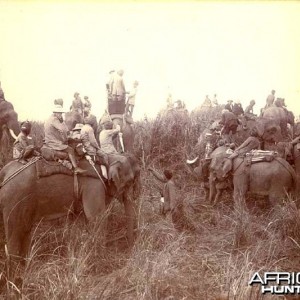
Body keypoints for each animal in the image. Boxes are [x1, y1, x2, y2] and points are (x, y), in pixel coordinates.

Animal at [0, 154, 141, 266]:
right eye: (130, 182)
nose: (129, 250)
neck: (108, 158)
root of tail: (4, 172)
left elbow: (78, 222)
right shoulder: (94, 185)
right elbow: (96, 219)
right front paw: (101, 261)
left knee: (25, 232)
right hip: (15, 200)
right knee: (14, 238)